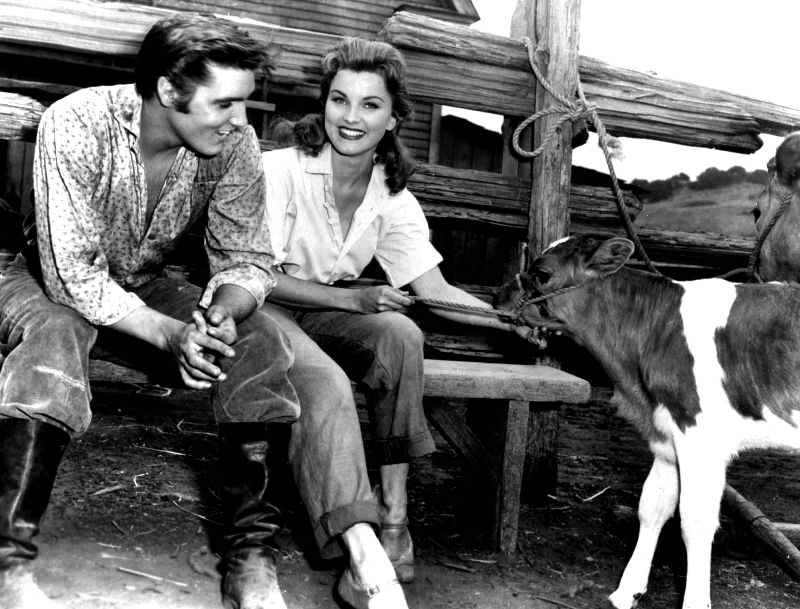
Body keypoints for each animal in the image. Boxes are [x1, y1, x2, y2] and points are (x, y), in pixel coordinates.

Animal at [494, 235, 800, 608]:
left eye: (542, 274)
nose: (498, 295)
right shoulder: (667, 435)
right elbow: (653, 506)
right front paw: (627, 590)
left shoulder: (699, 436)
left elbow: (694, 521)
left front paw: (694, 602)